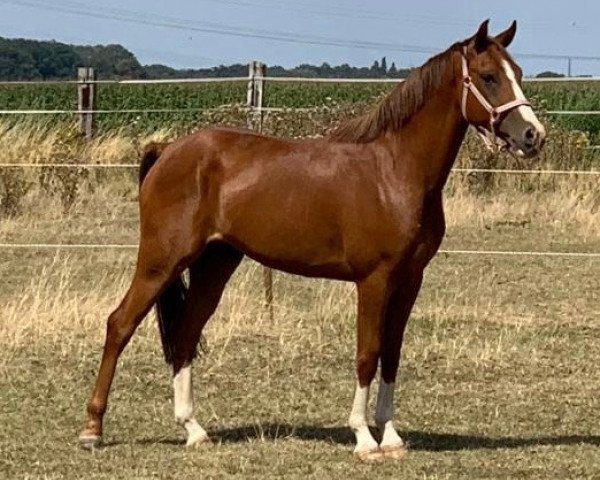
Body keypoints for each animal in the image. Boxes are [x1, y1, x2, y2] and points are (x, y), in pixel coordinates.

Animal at [81, 20, 548, 460]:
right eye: (489, 76)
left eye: (519, 72)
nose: (533, 136)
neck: (394, 169)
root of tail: (167, 150)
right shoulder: (374, 280)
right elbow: (367, 353)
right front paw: (364, 439)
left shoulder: (410, 280)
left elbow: (392, 354)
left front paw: (391, 437)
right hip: (161, 260)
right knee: (120, 324)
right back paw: (92, 429)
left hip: (215, 263)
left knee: (185, 334)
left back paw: (194, 430)